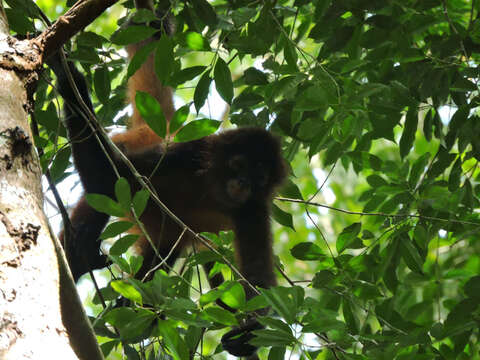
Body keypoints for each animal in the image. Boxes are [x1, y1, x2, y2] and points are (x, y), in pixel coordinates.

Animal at [50, 4, 286, 358]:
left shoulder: (253, 209)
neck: (214, 190)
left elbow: (259, 279)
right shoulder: (189, 154)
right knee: (104, 192)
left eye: (259, 176)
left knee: (161, 254)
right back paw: (80, 256)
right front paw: (70, 81)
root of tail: (158, 130)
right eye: (239, 164)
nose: (243, 183)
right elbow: (108, 177)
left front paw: (249, 333)